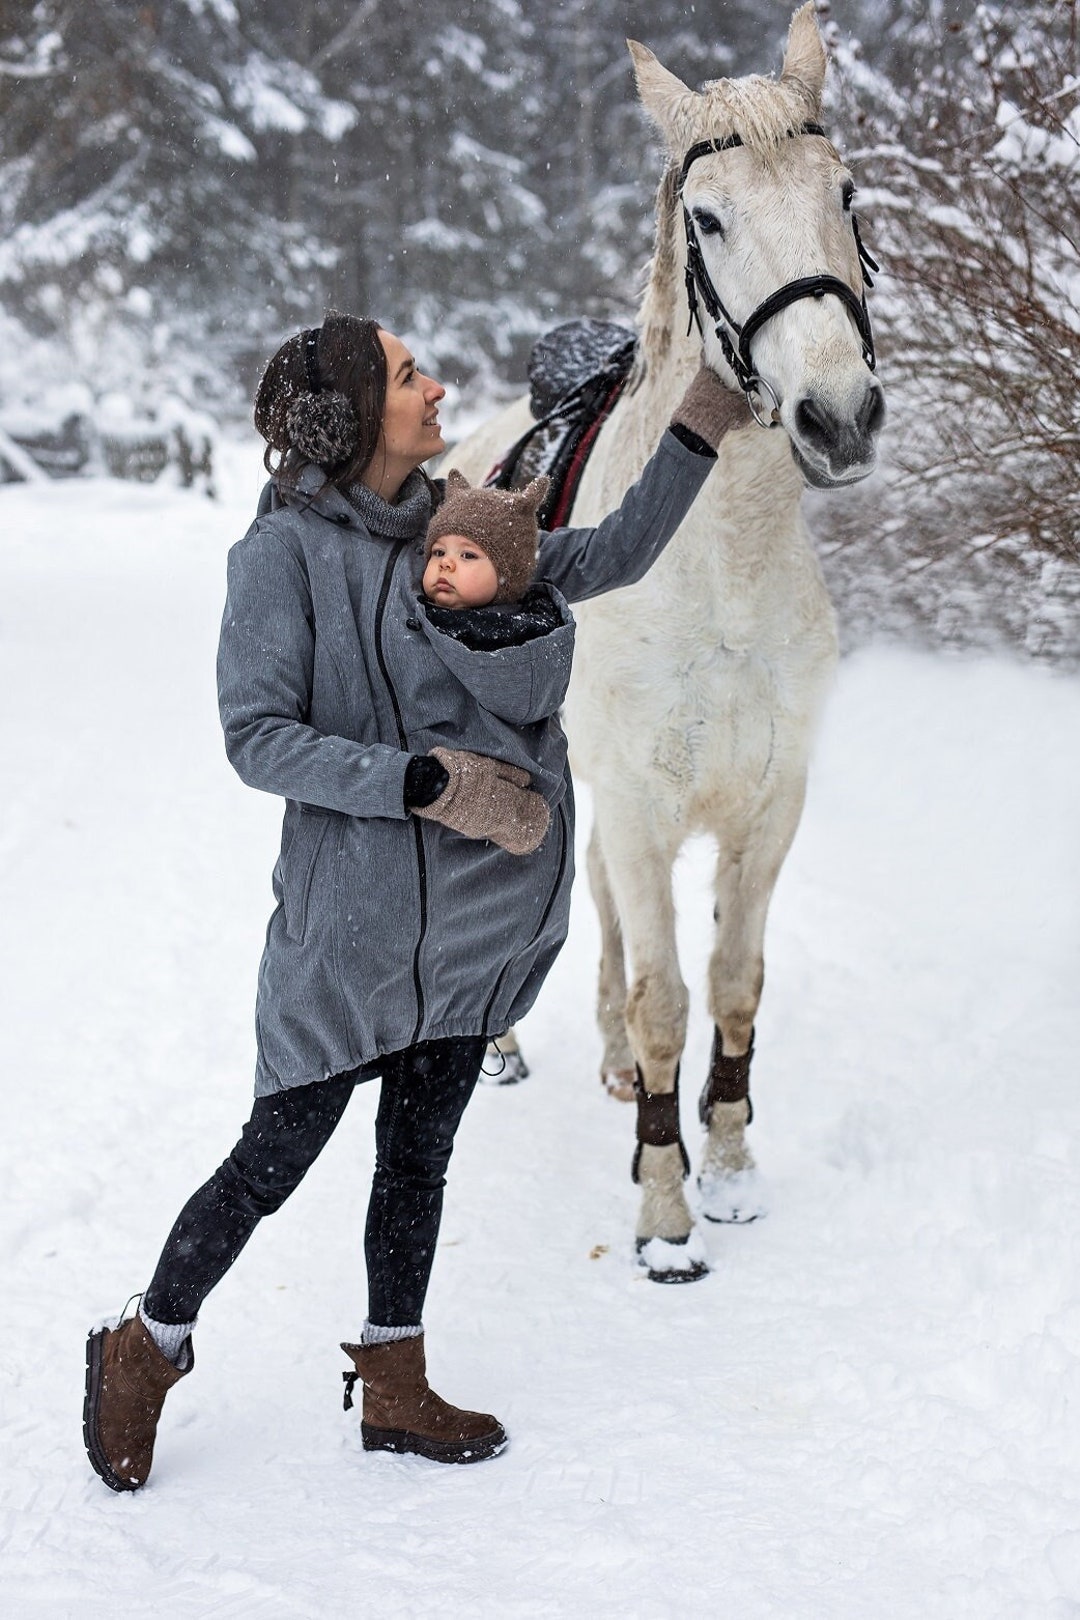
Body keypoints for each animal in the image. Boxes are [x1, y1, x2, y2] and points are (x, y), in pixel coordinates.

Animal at [453, 6, 880, 1283]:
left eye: (846, 193)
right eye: (709, 217)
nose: (840, 418)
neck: (722, 568)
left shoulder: (770, 806)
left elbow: (731, 986)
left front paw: (728, 1168)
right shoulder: (643, 804)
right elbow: (663, 999)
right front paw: (663, 1214)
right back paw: (506, 1049)